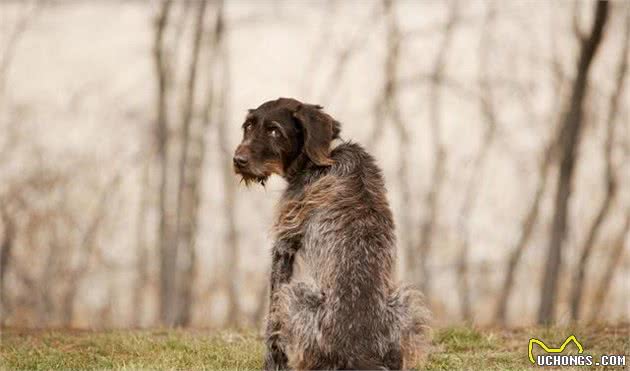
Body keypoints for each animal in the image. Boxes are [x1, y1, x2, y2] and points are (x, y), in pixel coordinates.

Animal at [235, 97, 432, 370]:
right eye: (249, 126)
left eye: (274, 131)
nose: (237, 160)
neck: (323, 158)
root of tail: (359, 356)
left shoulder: (283, 246)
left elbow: (271, 323)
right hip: (407, 304)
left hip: (296, 295)